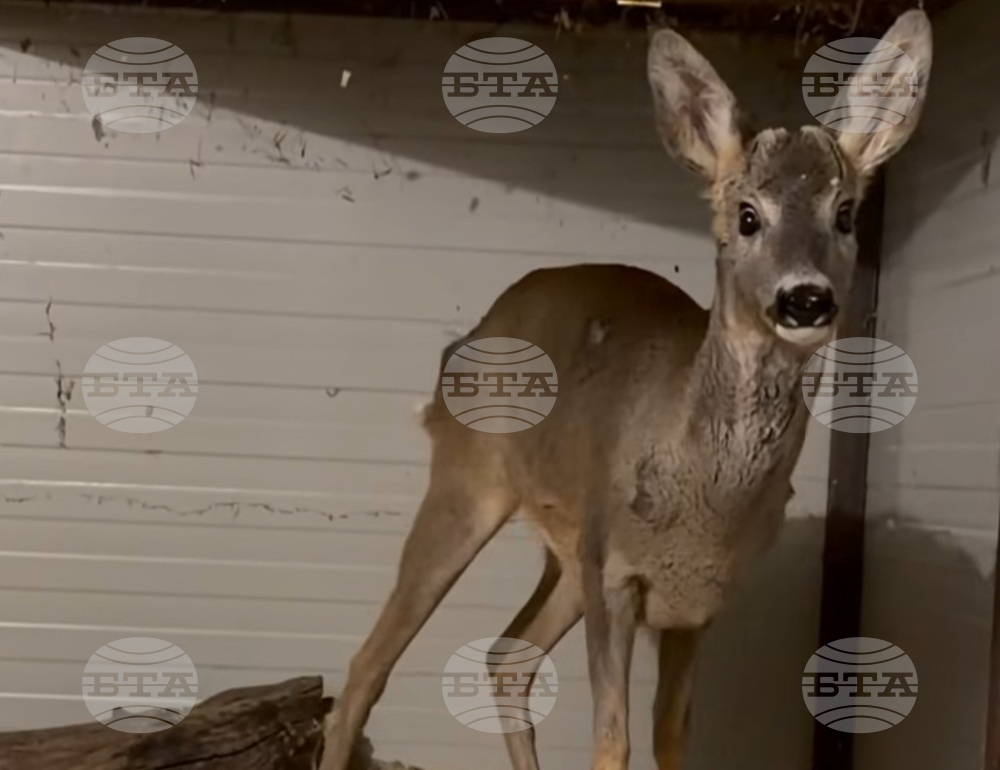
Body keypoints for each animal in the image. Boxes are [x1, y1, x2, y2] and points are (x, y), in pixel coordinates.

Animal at [320, 9, 932, 770]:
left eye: (845, 213)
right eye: (747, 215)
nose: (805, 299)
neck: (701, 494)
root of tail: (460, 348)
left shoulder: (695, 598)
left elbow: (671, 734)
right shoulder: (614, 572)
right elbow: (612, 740)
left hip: (566, 551)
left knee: (507, 654)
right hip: (473, 484)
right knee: (369, 663)